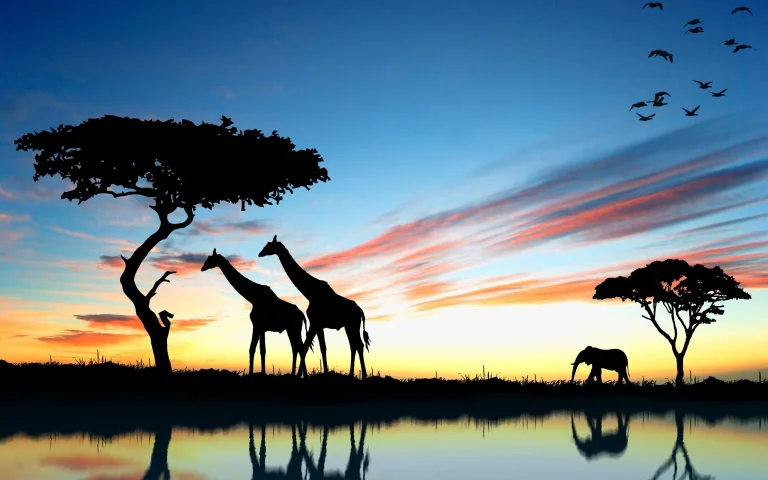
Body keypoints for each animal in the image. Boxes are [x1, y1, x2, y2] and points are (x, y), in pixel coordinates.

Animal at [258, 235, 370, 379]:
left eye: (269, 246)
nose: (260, 253)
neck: (310, 293)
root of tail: (360, 311)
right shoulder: (318, 324)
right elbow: (320, 348)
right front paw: (321, 373)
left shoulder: (315, 322)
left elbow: (307, 347)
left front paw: (301, 375)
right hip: (349, 326)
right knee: (354, 345)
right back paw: (351, 375)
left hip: (353, 324)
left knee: (358, 345)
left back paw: (364, 375)